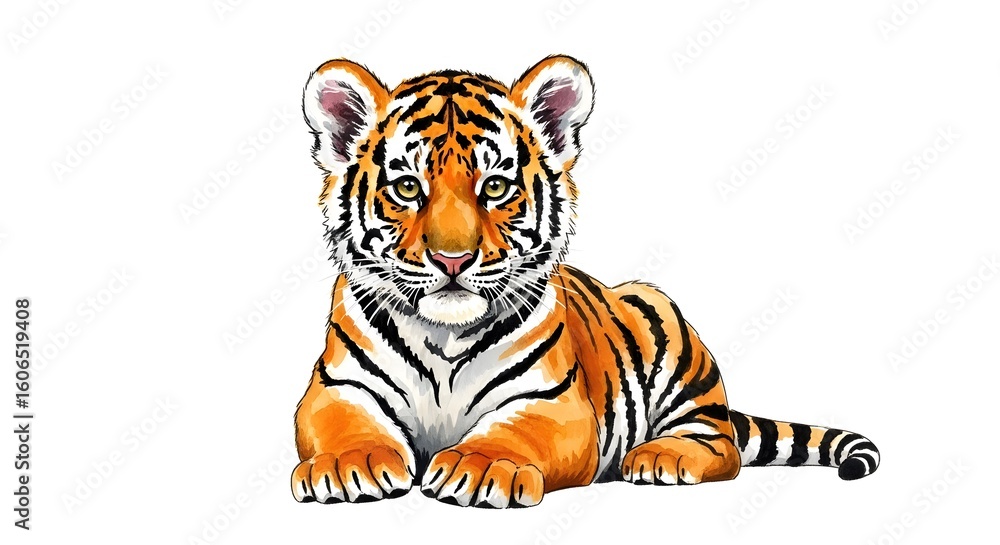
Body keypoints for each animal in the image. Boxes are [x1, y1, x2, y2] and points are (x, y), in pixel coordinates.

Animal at [291, 55, 880, 508]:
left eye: (496, 187)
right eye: (408, 188)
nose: (452, 259)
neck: (445, 336)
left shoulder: (551, 402)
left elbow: (514, 431)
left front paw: (481, 465)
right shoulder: (338, 387)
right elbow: (340, 423)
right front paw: (349, 464)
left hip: (671, 342)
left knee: (722, 445)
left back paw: (661, 457)